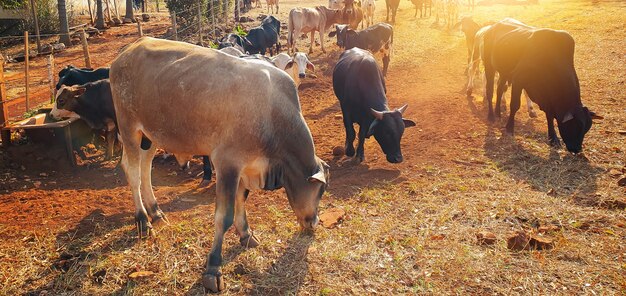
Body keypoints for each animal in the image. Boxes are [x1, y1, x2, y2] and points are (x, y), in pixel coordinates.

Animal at [109, 36, 330, 292]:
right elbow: (223, 217)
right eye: (321, 190)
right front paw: (213, 268)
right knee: (134, 172)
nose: (314, 222)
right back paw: (143, 220)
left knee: (145, 170)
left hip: (151, 136)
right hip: (129, 128)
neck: (272, 115)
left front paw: (246, 234)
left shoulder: (245, 167)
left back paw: (156, 211)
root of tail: (129, 48)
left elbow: (242, 201)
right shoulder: (227, 164)